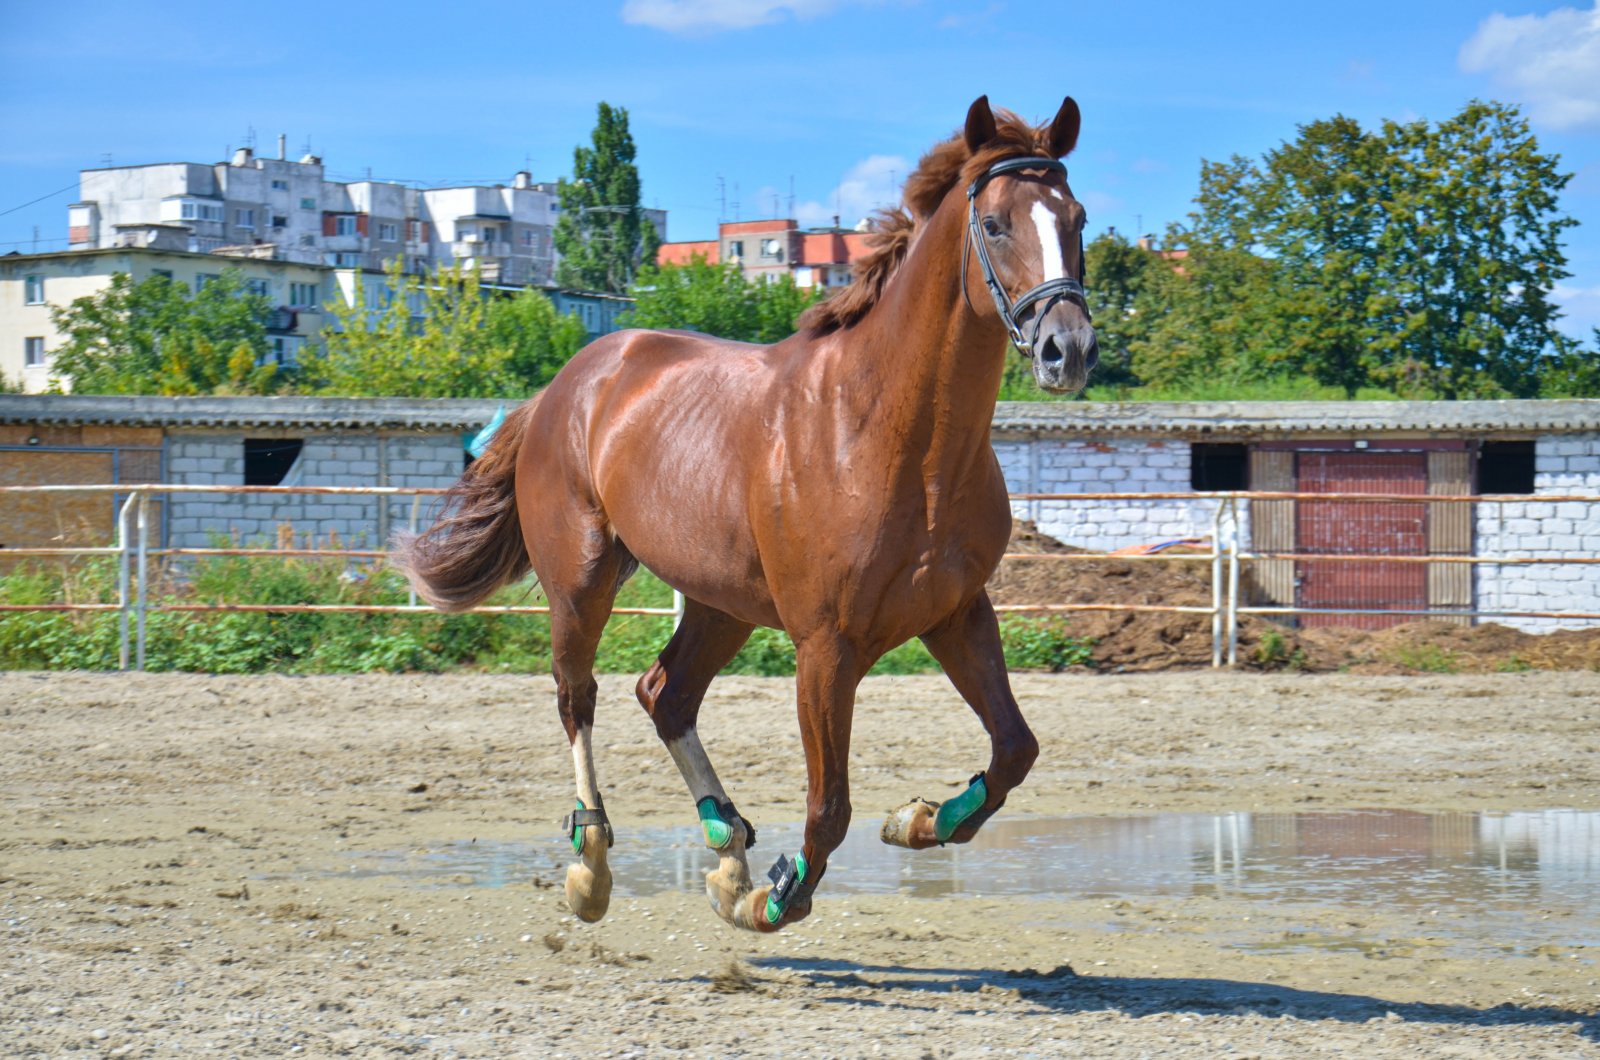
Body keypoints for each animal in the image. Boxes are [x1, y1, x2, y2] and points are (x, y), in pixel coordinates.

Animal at [400, 95, 1100, 935]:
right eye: (994, 224)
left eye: (1079, 218)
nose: (1068, 349)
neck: (891, 436)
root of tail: (565, 385)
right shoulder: (826, 647)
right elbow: (829, 807)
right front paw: (774, 897)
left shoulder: (957, 614)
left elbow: (1014, 749)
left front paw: (918, 819)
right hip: (580, 583)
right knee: (579, 697)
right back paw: (594, 865)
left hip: (720, 602)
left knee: (665, 694)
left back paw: (726, 845)